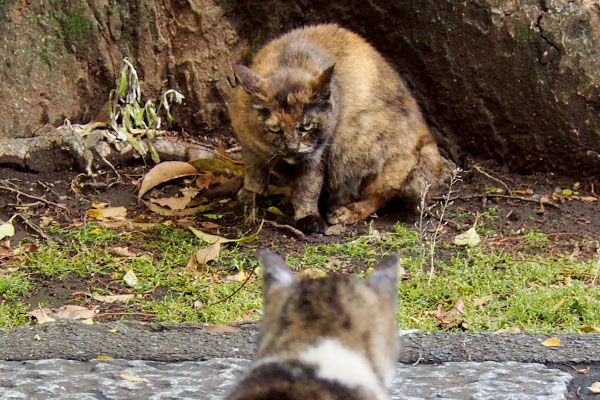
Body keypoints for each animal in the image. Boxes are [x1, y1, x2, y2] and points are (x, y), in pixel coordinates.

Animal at [232, 22, 442, 234]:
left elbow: (308, 188)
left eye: (308, 126)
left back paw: (347, 212)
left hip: (360, 138)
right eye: (275, 129)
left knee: (384, 193)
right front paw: (251, 193)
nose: (292, 148)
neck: (288, 61)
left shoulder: (316, 155)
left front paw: (308, 217)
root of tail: (425, 135)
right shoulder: (247, 141)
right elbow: (254, 170)